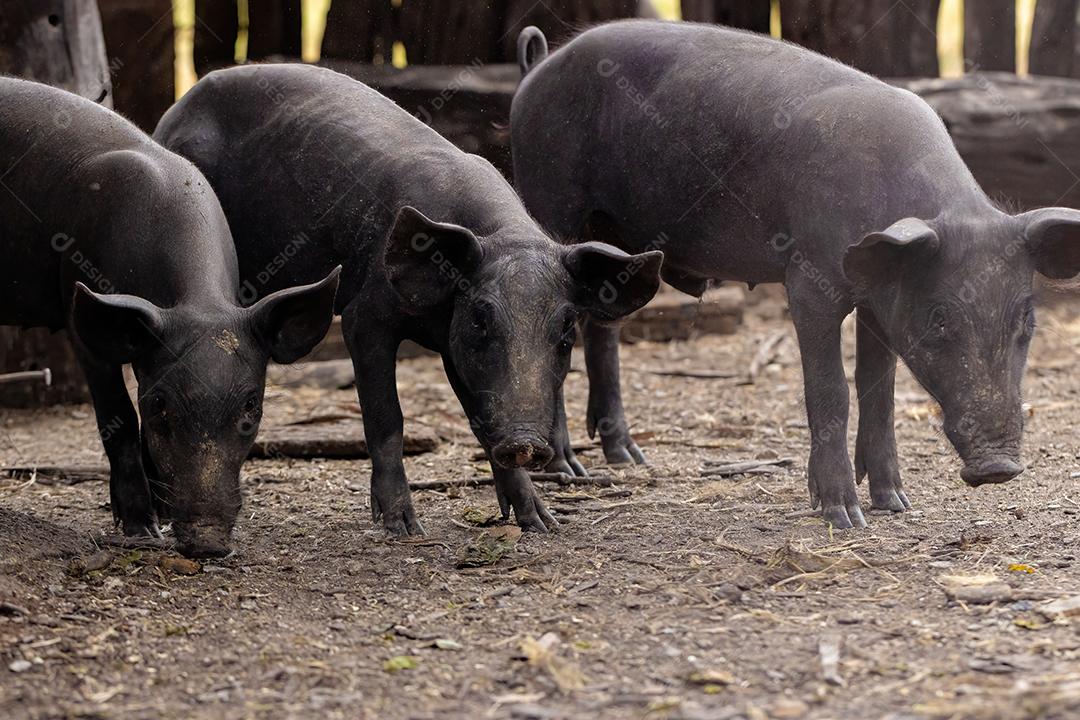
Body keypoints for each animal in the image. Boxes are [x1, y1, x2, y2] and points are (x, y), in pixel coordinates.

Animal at [0, 77, 340, 556]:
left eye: (251, 407)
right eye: (160, 404)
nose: (207, 541)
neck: (198, 301)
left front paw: (158, 520)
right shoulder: (80, 321)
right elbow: (119, 419)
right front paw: (143, 532)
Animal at [153, 64, 663, 535]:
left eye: (565, 331)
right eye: (481, 318)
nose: (526, 442)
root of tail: (179, 105)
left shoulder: (453, 348)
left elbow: (480, 419)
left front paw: (542, 522)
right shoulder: (364, 316)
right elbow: (387, 417)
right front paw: (403, 528)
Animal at [510, 21, 1080, 529]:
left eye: (1026, 323)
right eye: (940, 320)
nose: (1000, 467)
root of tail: (538, 67)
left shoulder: (879, 301)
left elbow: (879, 390)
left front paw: (895, 505)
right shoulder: (808, 283)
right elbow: (831, 390)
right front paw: (844, 518)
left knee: (604, 325)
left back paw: (629, 458)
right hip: (549, 199)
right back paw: (567, 468)